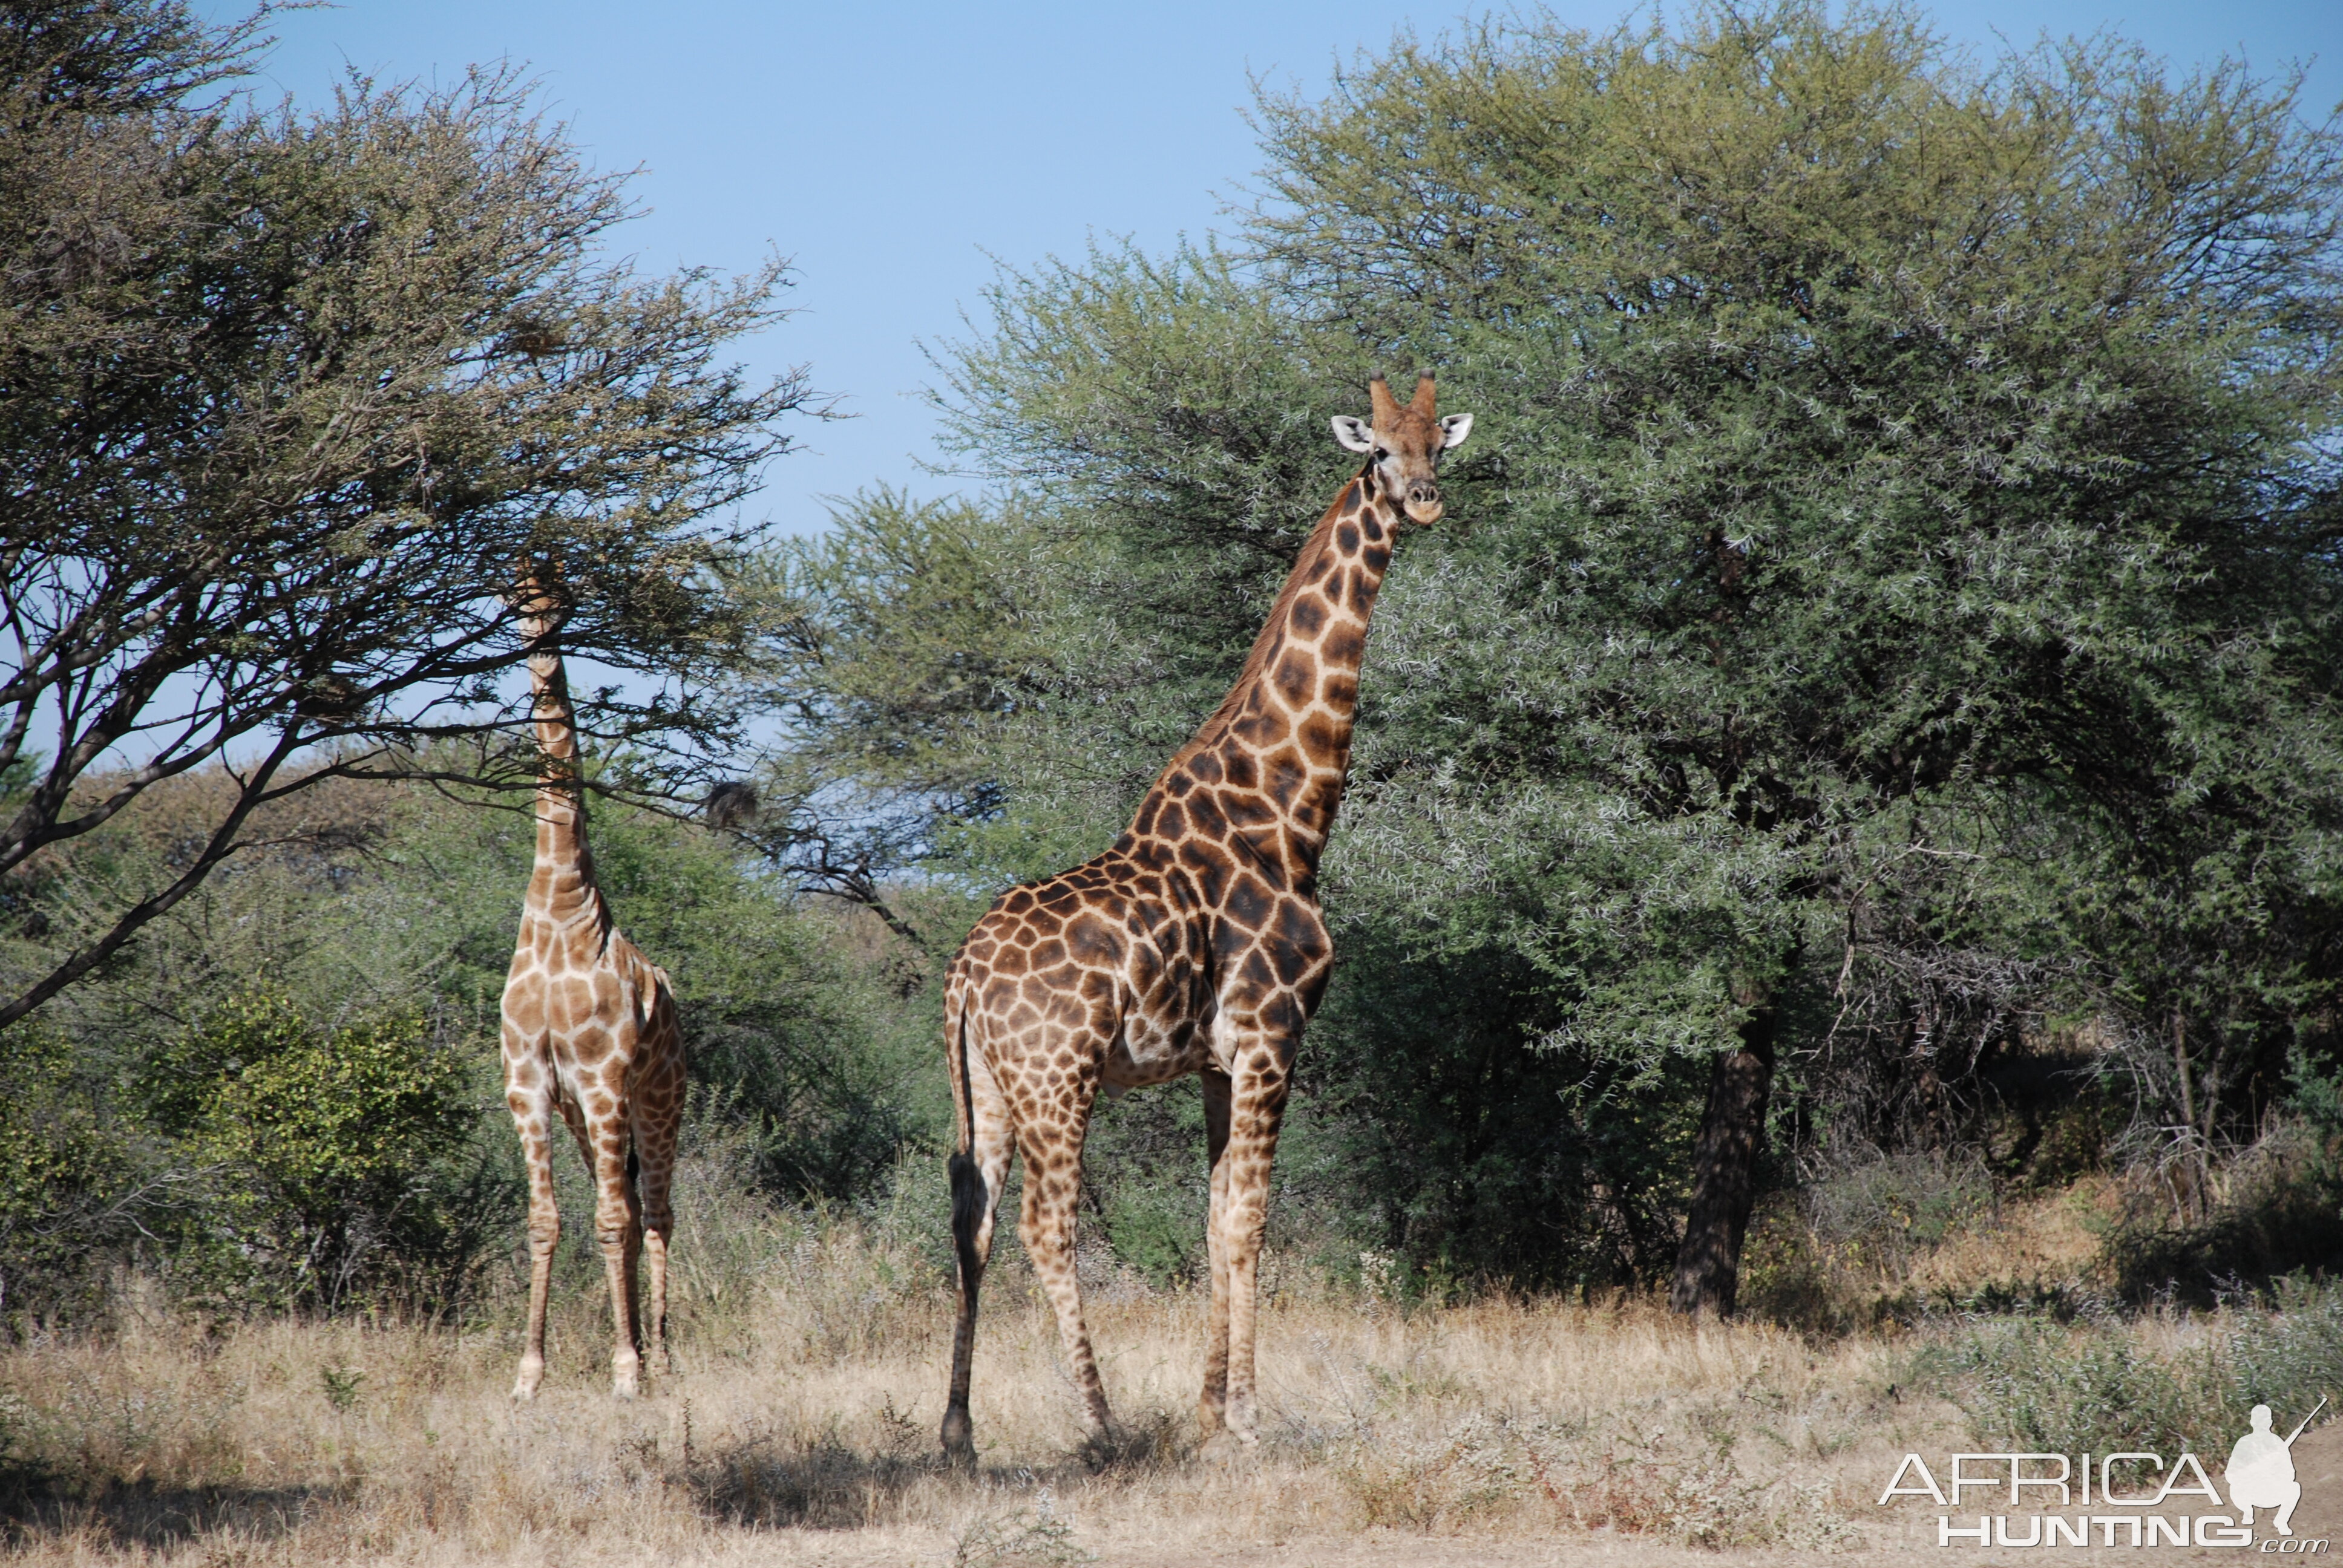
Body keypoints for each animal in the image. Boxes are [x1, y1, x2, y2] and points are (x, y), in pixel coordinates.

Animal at [937, 370, 1471, 1453]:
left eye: (1438, 444)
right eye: (1379, 452)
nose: (1426, 500)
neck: (1287, 811)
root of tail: (965, 979)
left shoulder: (1220, 1062)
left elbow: (1214, 1212)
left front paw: (1209, 1411)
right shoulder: (1273, 1035)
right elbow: (1249, 1219)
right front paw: (1251, 1420)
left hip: (987, 1088)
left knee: (973, 1221)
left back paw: (958, 1435)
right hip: (1060, 1080)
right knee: (1045, 1226)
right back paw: (1101, 1425)